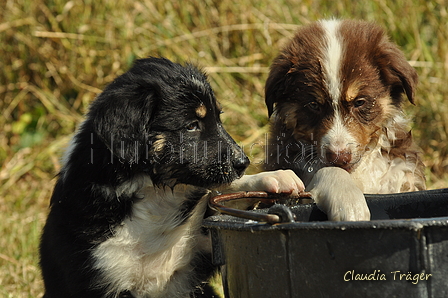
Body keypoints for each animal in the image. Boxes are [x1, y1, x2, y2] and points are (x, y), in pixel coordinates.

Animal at [40, 58, 302, 298]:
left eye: (218, 118)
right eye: (192, 126)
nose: (243, 163)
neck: (156, 196)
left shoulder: (201, 249)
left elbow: (223, 195)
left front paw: (275, 178)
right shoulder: (101, 273)